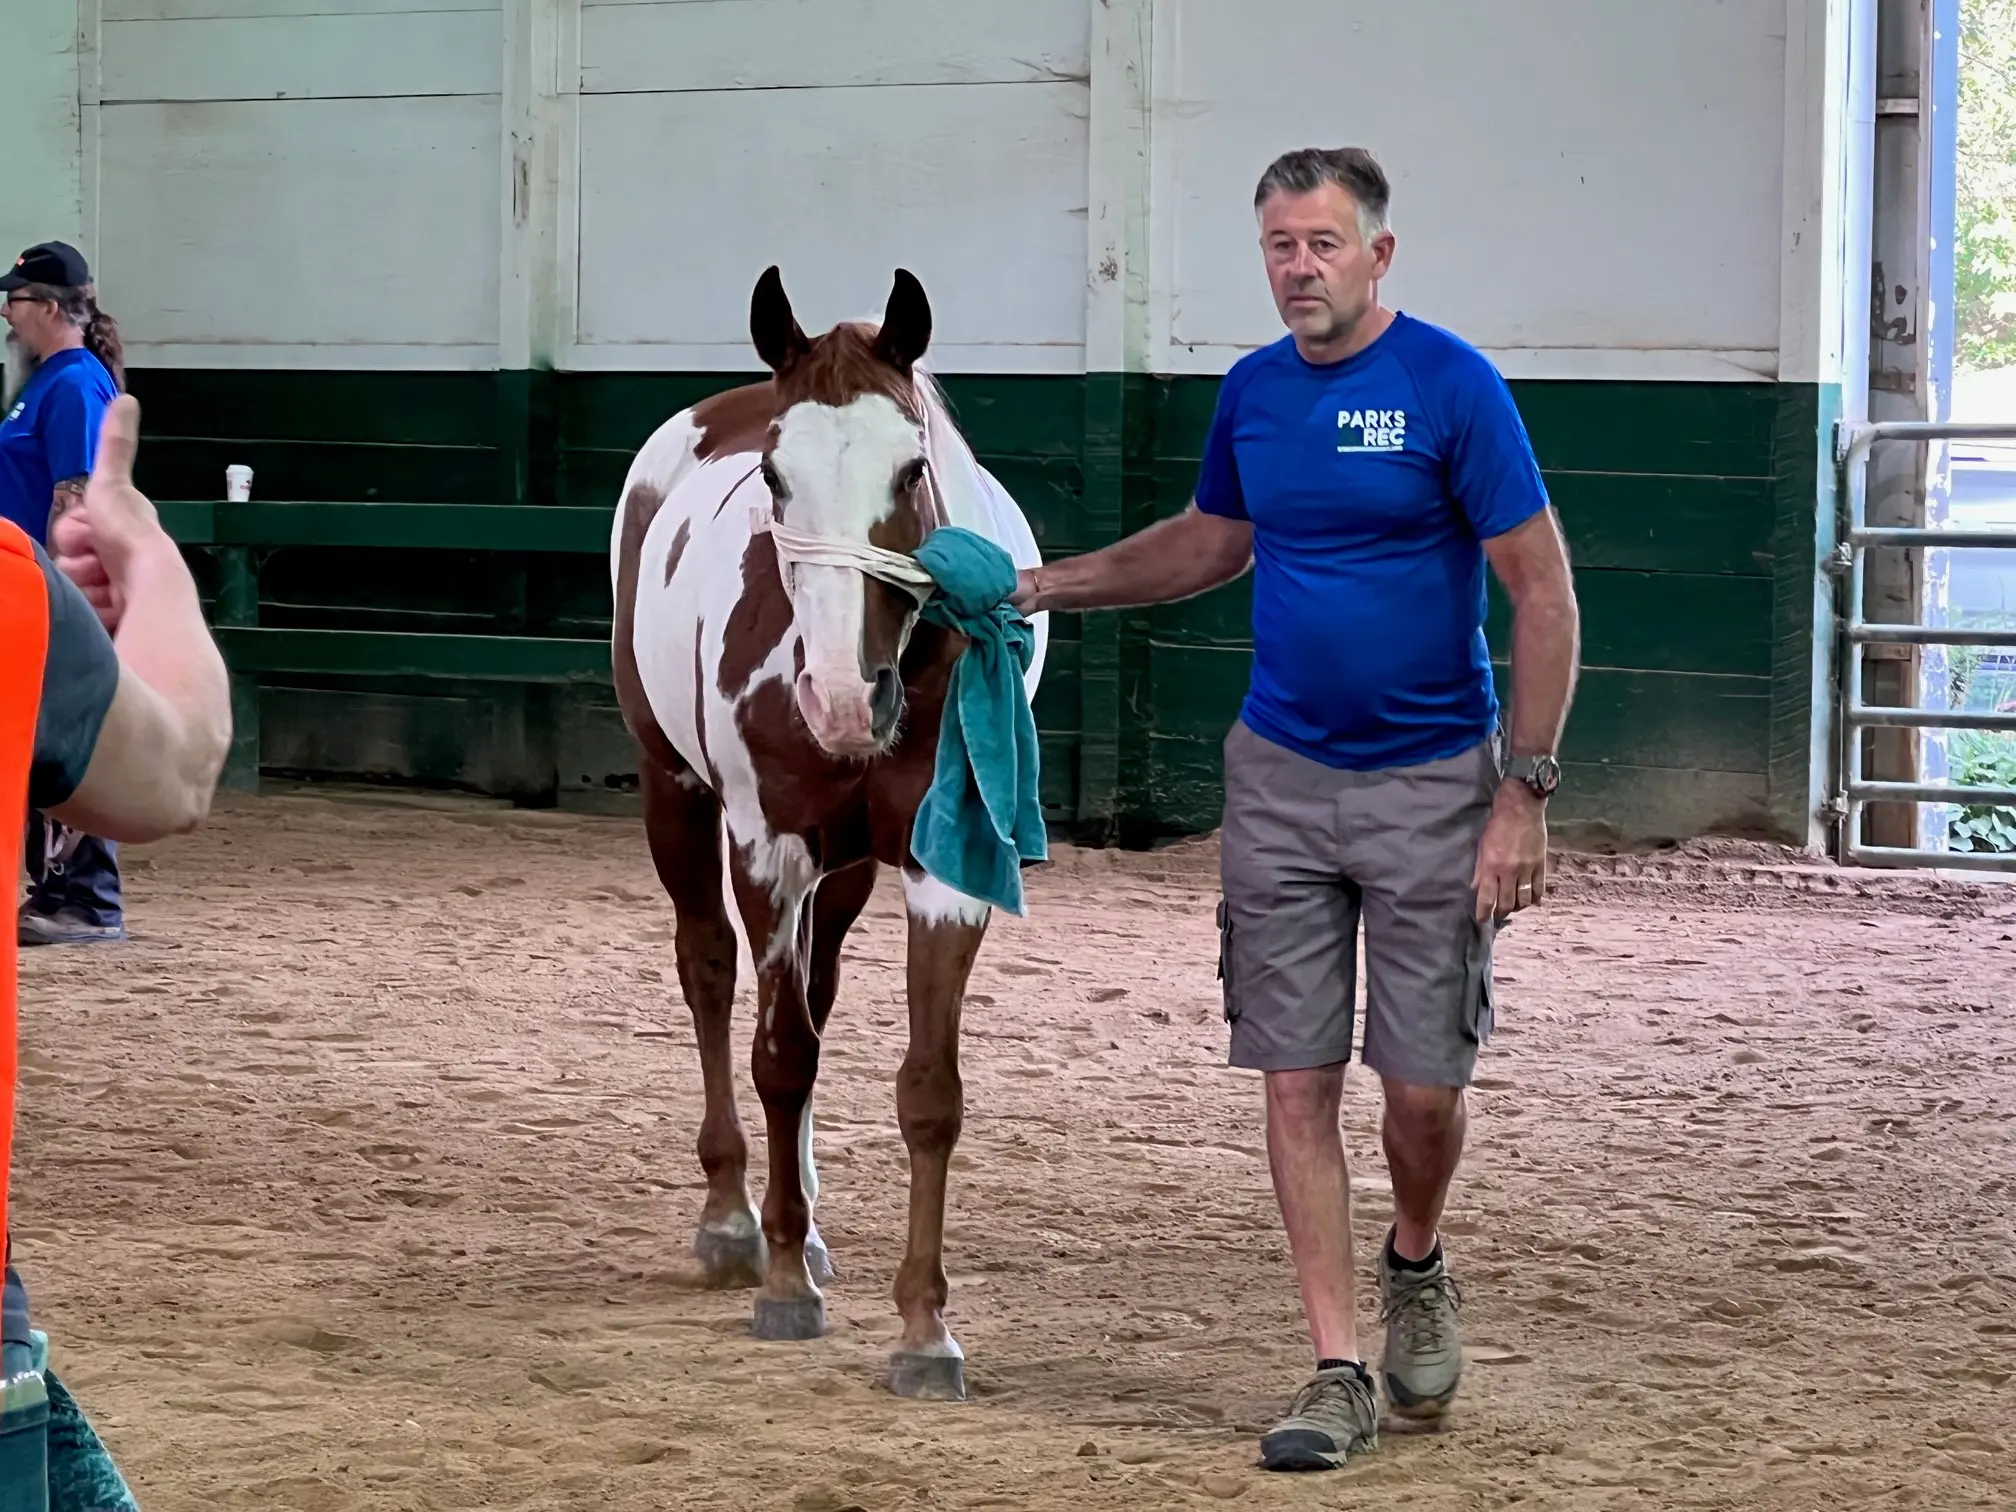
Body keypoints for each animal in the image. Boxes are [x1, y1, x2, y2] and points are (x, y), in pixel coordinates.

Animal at [607, 265, 1048, 1401]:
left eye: (911, 467)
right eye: (774, 473)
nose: (845, 697)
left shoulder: (945, 873)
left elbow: (928, 1091)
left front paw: (924, 1330)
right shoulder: (768, 850)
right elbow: (779, 1057)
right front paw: (780, 1288)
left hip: (844, 874)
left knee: (816, 987)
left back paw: (796, 1228)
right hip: (673, 795)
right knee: (713, 974)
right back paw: (737, 1222)